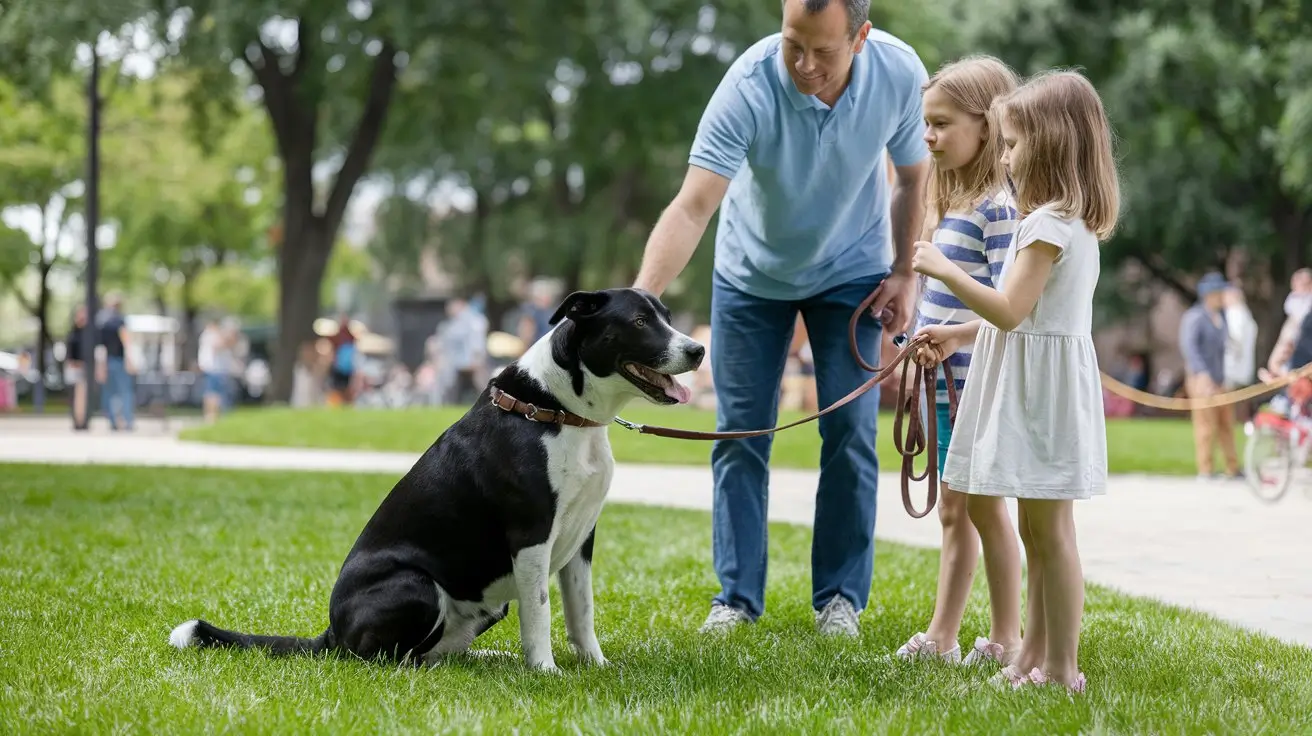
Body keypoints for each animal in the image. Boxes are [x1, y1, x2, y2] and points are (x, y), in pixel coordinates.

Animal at [169, 287, 703, 671]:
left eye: (666, 314)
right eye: (639, 322)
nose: (698, 349)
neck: (558, 411)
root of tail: (331, 632)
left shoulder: (581, 538)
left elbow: (580, 613)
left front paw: (595, 666)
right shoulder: (531, 536)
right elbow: (541, 611)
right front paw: (545, 671)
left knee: (434, 650)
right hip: (418, 585)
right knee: (379, 656)